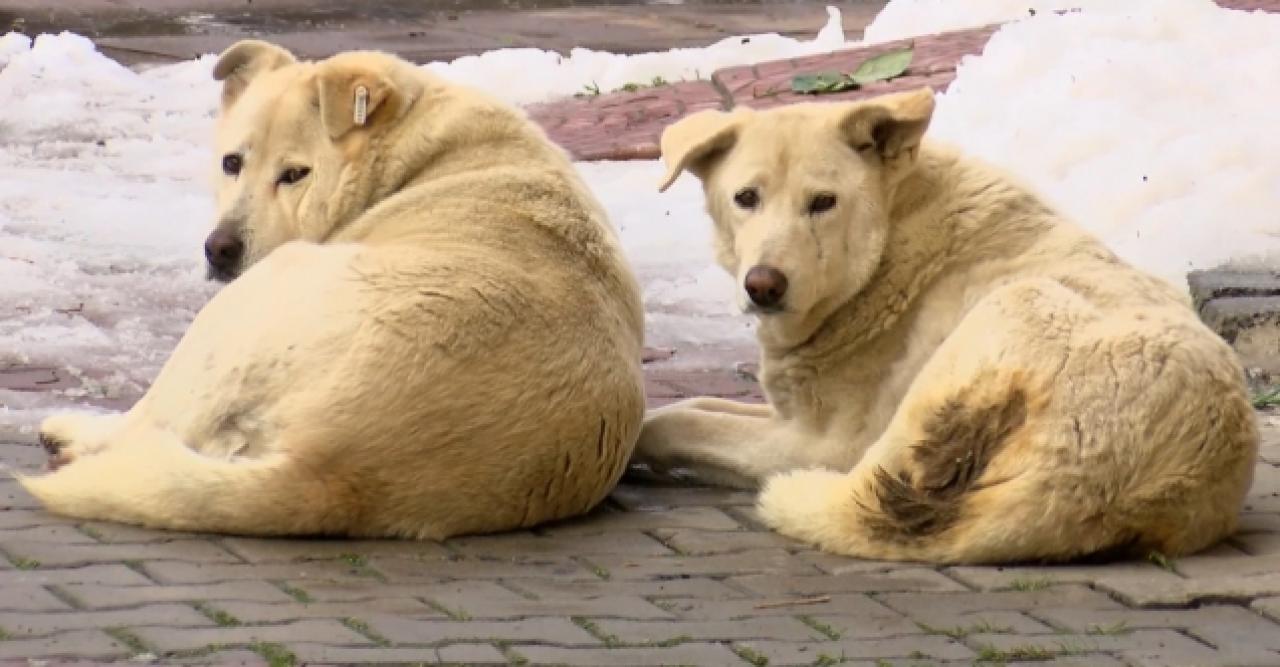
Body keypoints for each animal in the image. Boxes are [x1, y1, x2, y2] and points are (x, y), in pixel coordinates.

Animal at [23, 41, 650, 537]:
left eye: (296, 175)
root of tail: (334, 470)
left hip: (260, 295)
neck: (411, 147)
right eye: (231, 162)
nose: (219, 249)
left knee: (157, 420)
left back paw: (73, 434)